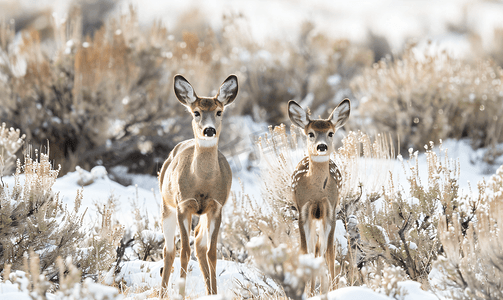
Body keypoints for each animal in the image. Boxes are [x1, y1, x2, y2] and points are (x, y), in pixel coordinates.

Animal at [159, 74, 238, 298]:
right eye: (196, 112)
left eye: (219, 111)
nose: (209, 130)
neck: (202, 183)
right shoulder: (183, 205)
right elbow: (183, 252)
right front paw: (180, 294)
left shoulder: (216, 207)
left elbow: (212, 252)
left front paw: (215, 294)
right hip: (166, 206)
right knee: (169, 250)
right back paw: (162, 293)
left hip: (202, 214)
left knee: (200, 243)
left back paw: (210, 290)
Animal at [290, 98, 352, 296]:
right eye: (311, 133)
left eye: (330, 133)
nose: (322, 146)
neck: (317, 192)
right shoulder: (303, 209)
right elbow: (306, 251)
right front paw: (306, 292)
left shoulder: (330, 209)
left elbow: (329, 252)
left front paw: (333, 289)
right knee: (313, 248)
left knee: (321, 248)